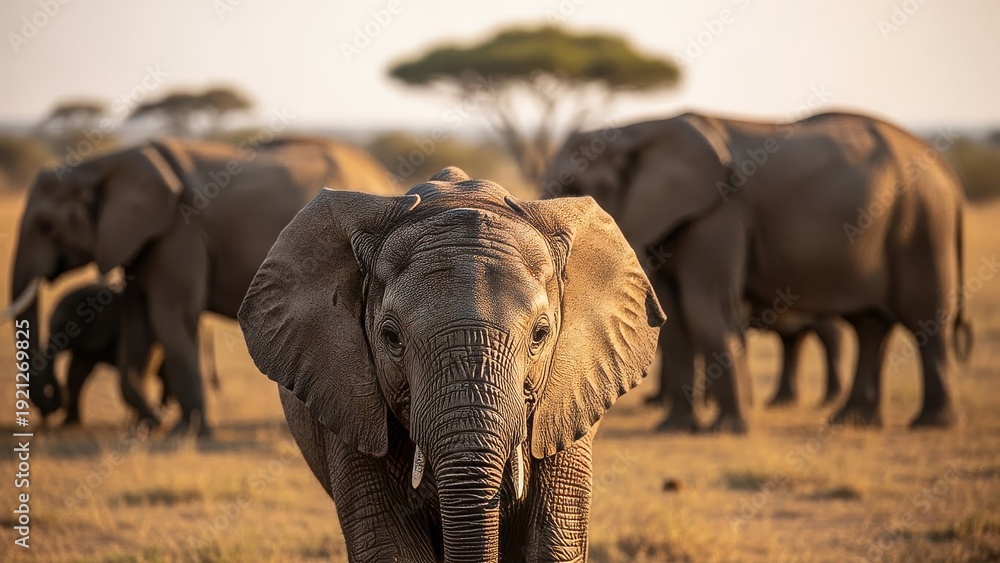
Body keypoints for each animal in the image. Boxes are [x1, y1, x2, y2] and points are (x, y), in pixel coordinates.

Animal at [543, 111, 971, 433]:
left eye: (572, 186)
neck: (635, 129)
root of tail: (950, 177)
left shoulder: (718, 211)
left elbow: (705, 306)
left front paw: (726, 430)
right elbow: (673, 317)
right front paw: (673, 428)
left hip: (923, 224)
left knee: (925, 319)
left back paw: (930, 423)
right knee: (869, 324)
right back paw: (852, 421)